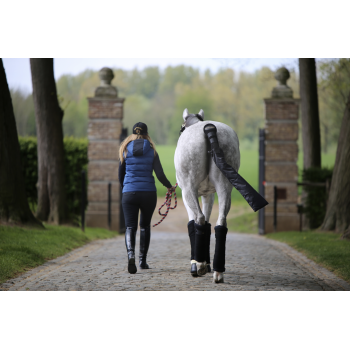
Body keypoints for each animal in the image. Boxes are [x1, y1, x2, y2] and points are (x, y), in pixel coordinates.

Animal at [174, 108, 239, 284]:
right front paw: (207, 263)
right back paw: (218, 272)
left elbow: (193, 223)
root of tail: (209, 129)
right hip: (225, 187)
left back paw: (200, 265)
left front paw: (196, 263)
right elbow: (208, 225)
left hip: (189, 189)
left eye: (181, 127)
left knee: (200, 219)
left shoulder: (188, 194)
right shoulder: (208, 195)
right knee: (220, 223)